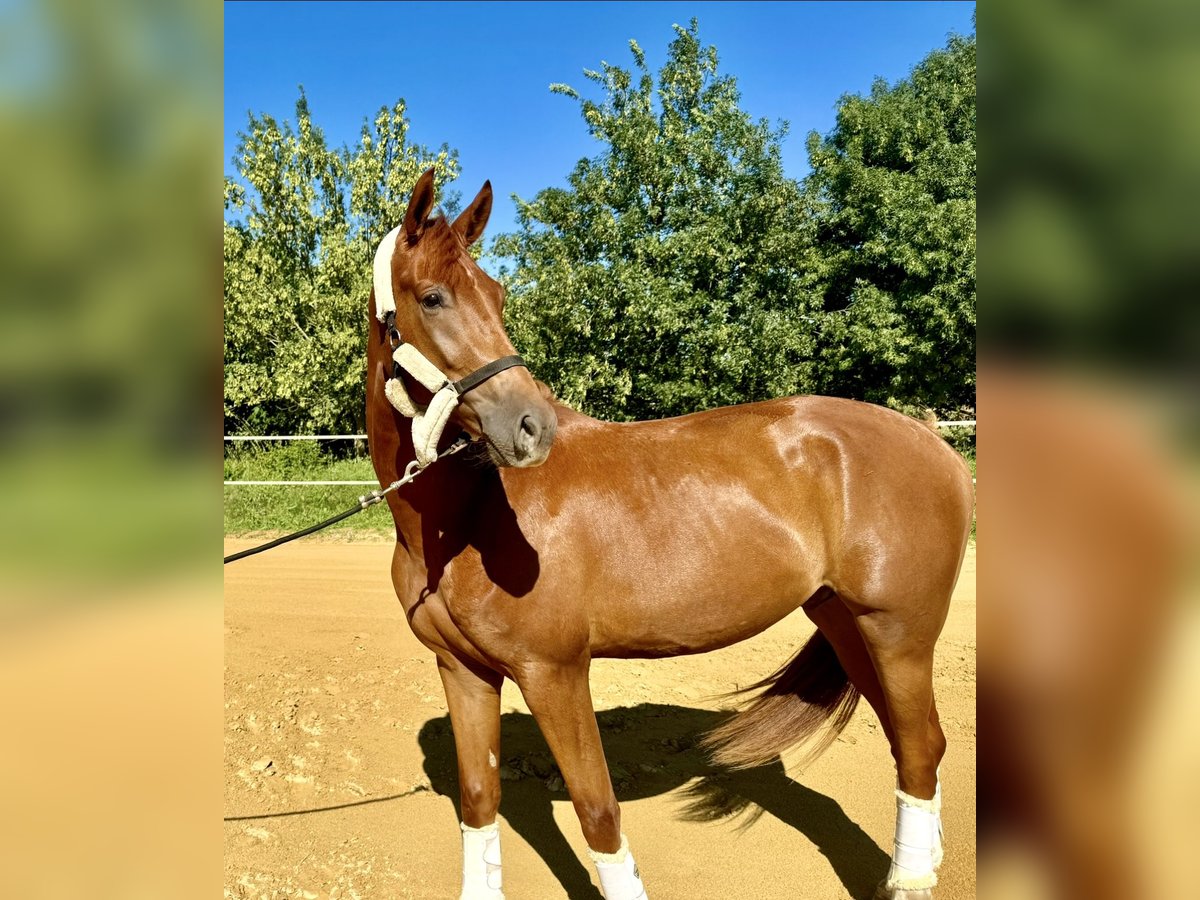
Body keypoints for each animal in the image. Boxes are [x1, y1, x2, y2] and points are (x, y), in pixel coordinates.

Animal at [364, 170, 974, 900]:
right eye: (432, 297)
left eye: (499, 295)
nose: (532, 426)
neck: (464, 519)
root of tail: (933, 440)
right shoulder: (463, 671)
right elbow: (480, 801)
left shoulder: (554, 672)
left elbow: (598, 809)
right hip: (847, 625)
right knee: (912, 746)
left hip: (899, 631)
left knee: (921, 747)